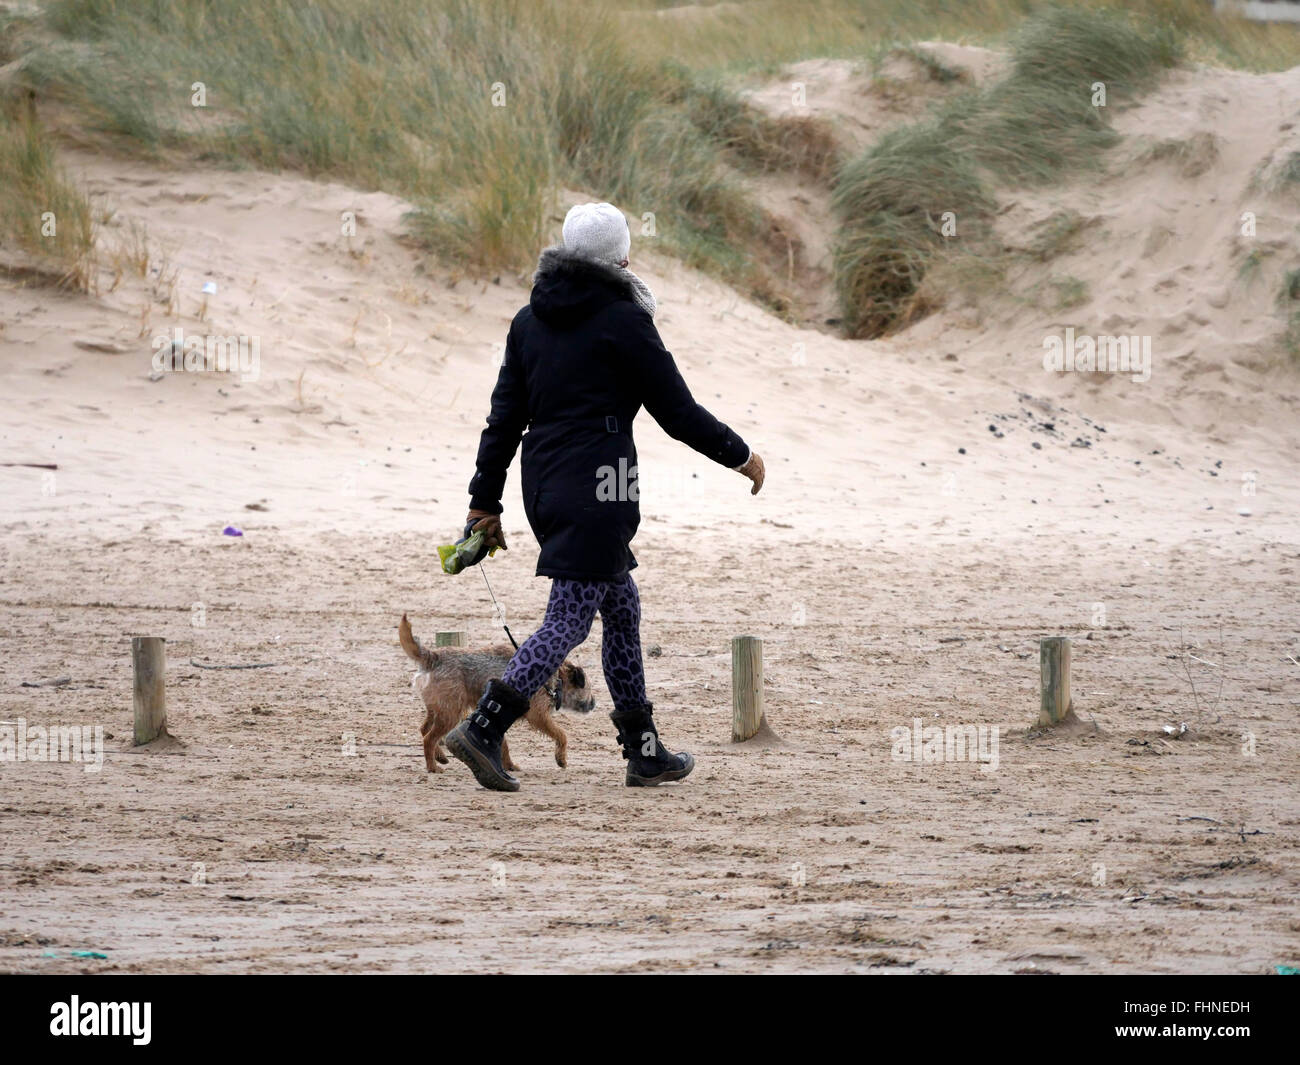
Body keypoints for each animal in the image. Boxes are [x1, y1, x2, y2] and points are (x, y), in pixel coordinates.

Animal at [397, 616, 595, 775]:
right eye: (589, 688)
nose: (594, 703)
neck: (556, 677)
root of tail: (434, 656)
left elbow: (504, 745)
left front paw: (509, 765)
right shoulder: (538, 716)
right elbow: (561, 734)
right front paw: (561, 758)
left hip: (439, 709)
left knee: (424, 730)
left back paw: (440, 756)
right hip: (451, 713)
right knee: (429, 738)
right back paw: (433, 767)